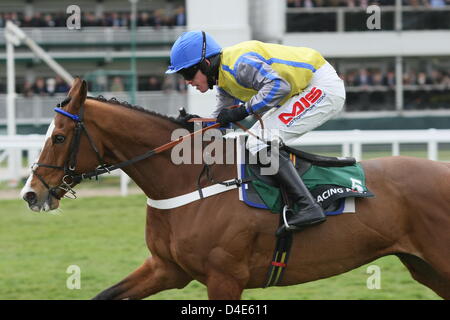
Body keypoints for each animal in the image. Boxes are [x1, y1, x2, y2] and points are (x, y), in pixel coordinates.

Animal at [19, 78, 448, 300]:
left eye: (58, 137)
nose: (31, 193)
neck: (189, 182)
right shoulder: (167, 269)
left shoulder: (225, 277)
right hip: (426, 267)